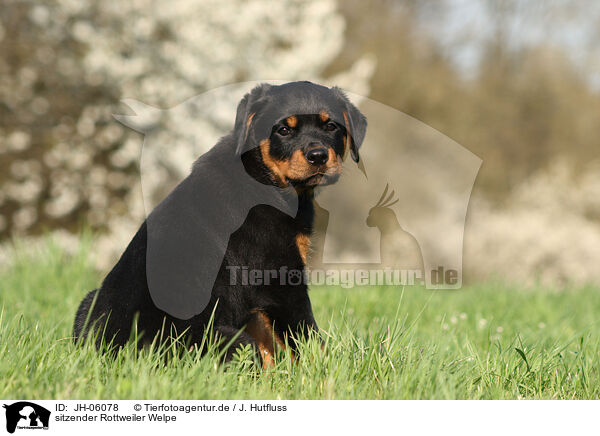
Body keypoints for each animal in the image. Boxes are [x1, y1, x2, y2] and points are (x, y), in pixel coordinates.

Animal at [73, 80, 368, 366]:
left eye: (331, 126)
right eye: (283, 130)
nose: (318, 156)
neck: (263, 176)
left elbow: (270, 343)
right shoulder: (278, 279)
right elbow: (305, 337)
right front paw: (324, 371)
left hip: (88, 303)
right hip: (226, 340)